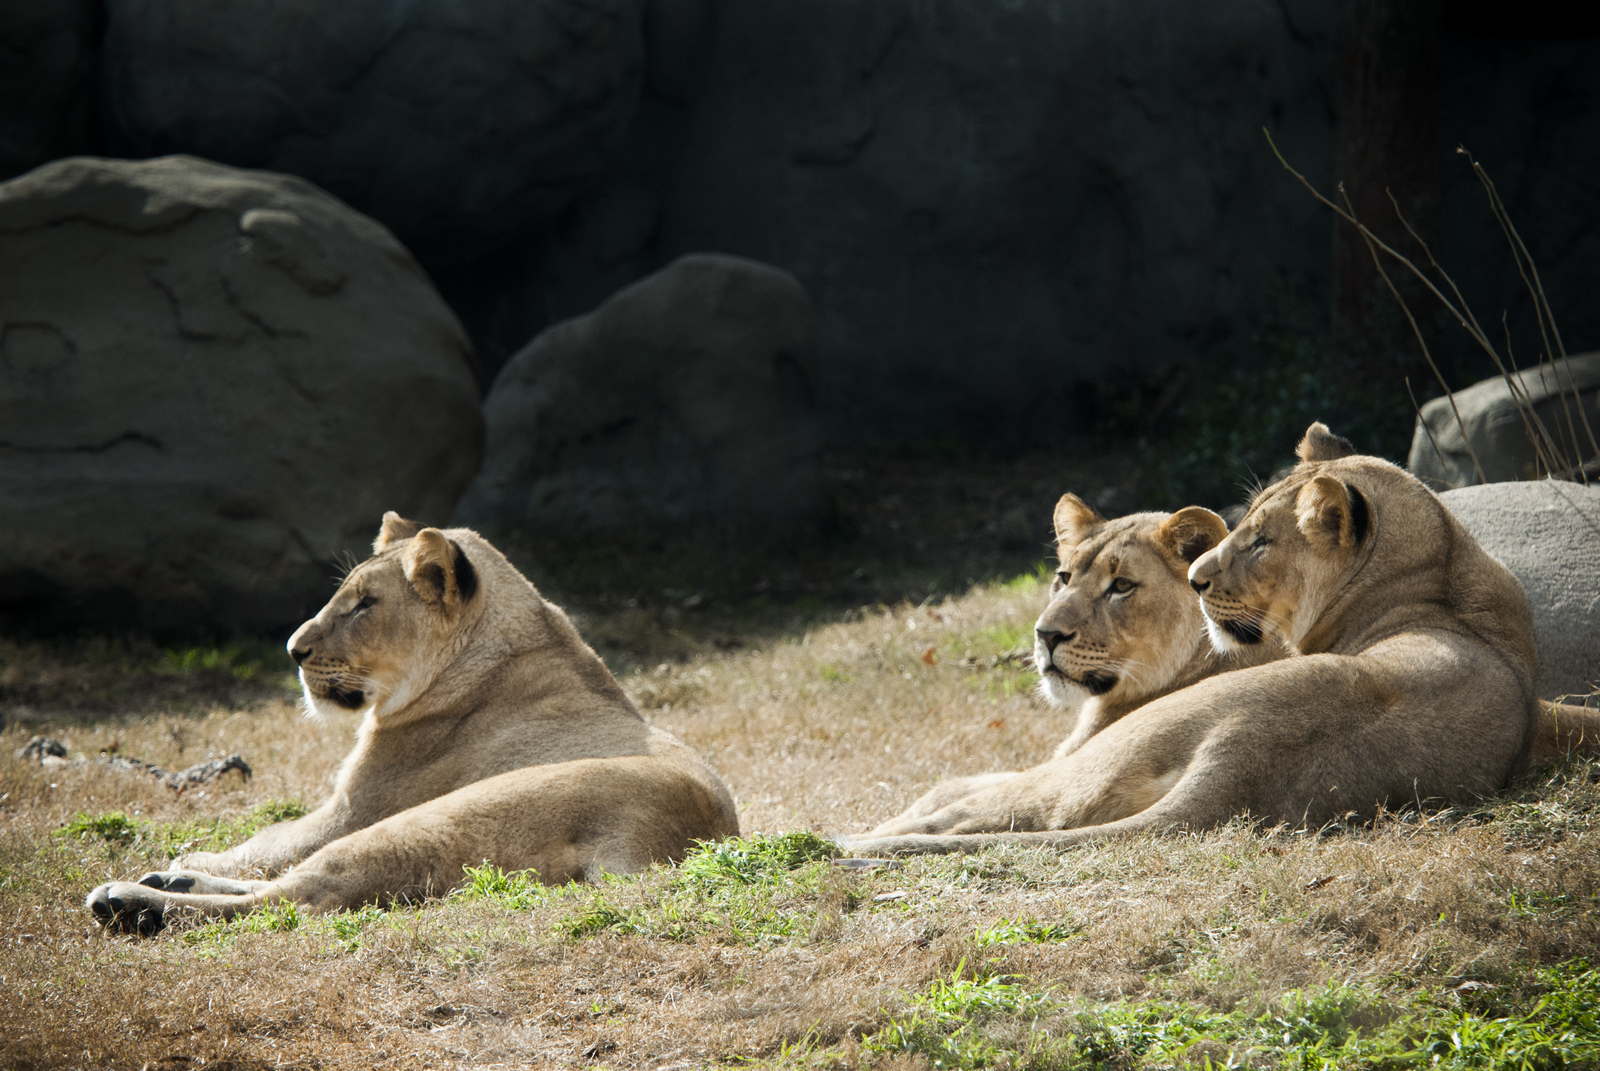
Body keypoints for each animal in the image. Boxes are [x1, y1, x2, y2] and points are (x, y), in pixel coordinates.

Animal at [86, 513, 740, 934]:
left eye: (365, 604)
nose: (294, 650)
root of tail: (675, 844)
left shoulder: (354, 808)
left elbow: (268, 842)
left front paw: (189, 859)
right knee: (293, 887)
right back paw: (166, 887)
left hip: (436, 818)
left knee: (302, 895)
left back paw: (135, 902)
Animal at [839, 423, 1546, 855]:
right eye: (1063, 577)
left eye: (1121, 587)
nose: (1044, 635)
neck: (1434, 577)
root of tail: (1237, 766)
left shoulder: (1069, 754)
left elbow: (952, 787)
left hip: (1092, 765)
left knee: (965, 812)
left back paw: (832, 843)